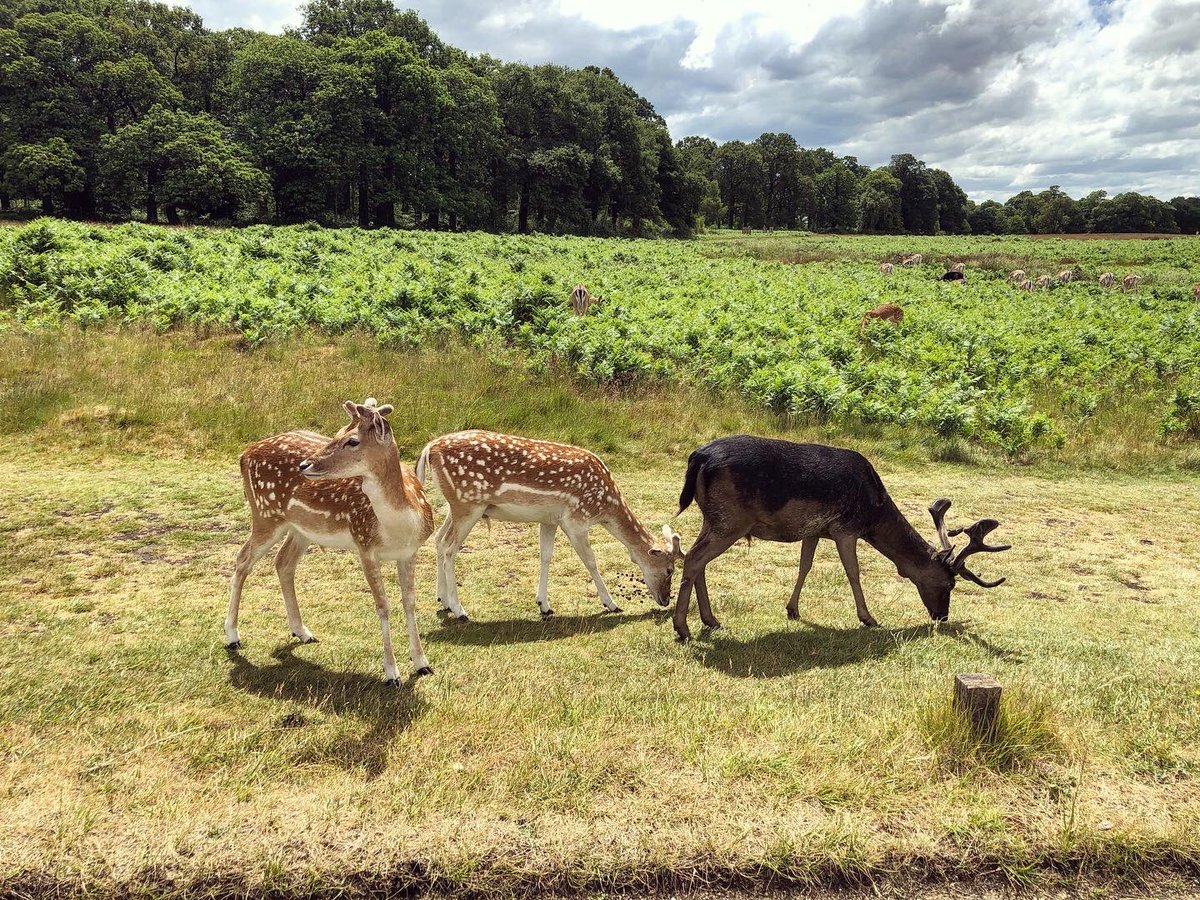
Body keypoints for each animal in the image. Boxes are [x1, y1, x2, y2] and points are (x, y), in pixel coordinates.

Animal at [225, 399, 436, 683]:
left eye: (352, 440)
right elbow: (382, 606)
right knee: (242, 559)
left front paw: (423, 664)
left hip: (301, 529)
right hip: (265, 514)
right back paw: (232, 636)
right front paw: (392, 673)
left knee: (283, 562)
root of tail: (243, 454)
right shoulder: (364, 545)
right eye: (337, 433)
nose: (305, 465)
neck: (399, 528)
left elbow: (410, 601)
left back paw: (302, 631)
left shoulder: (410, 552)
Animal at [417, 431, 684, 620]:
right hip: (468, 503)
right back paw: (460, 610)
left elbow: (546, 556)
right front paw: (611, 604)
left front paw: (544, 605)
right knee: (449, 547)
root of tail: (429, 448)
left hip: (457, 506)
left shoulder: (548, 520)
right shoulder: (576, 519)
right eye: (669, 570)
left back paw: (443, 600)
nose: (665, 600)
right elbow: (590, 561)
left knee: (439, 540)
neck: (605, 506)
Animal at [671, 436, 1010, 642]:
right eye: (949, 584)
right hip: (731, 520)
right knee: (694, 558)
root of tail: (699, 457)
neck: (873, 514)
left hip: (713, 517)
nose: (942, 616)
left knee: (695, 557)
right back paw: (683, 628)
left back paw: (710, 620)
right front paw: (868, 617)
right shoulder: (845, 527)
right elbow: (853, 572)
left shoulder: (813, 531)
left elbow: (805, 566)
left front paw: (792, 610)